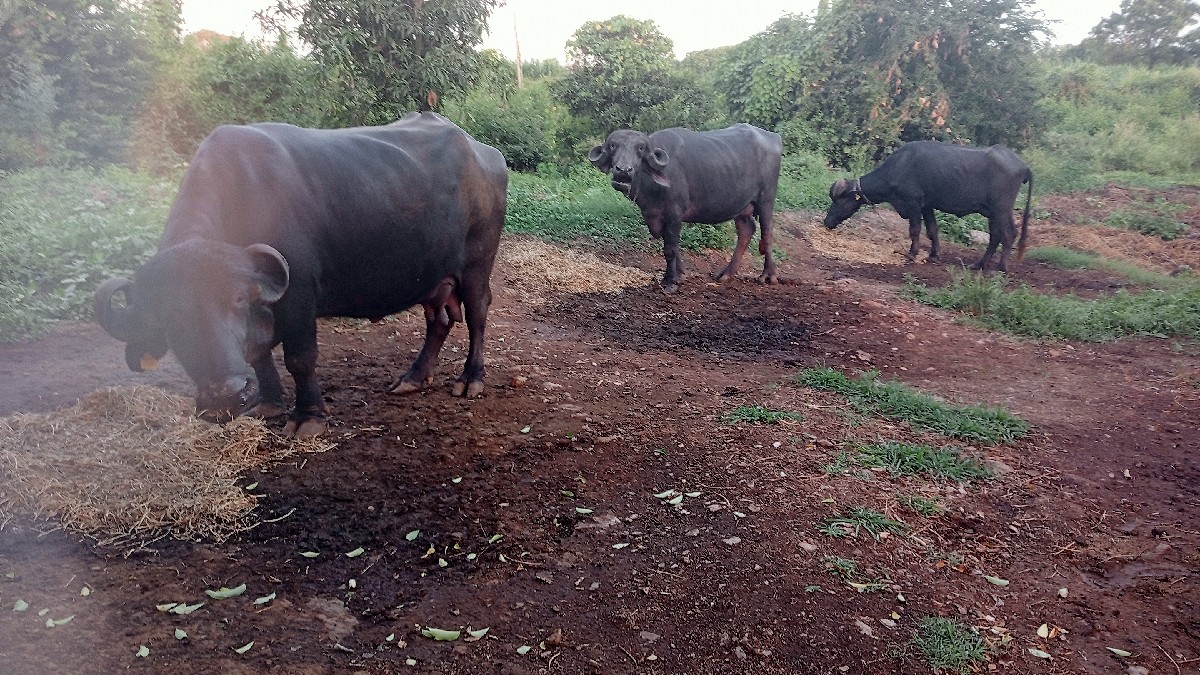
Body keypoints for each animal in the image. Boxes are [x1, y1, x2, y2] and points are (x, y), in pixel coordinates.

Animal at [93, 111, 508, 439]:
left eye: (237, 299)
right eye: (170, 318)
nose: (226, 395)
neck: (240, 197)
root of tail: (485, 153)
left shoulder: (299, 297)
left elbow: (300, 358)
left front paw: (308, 417)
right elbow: (259, 352)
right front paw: (268, 402)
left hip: (477, 264)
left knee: (477, 315)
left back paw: (470, 379)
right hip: (431, 277)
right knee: (438, 320)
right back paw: (414, 377)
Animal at [588, 124, 783, 293]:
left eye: (641, 148)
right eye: (613, 146)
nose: (623, 170)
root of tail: (774, 137)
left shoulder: (675, 214)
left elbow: (670, 249)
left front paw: (670, 282)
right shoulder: (657, 216)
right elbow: (673, 246)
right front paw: (680, 274)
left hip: (766, 199)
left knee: (767, 232)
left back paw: (768, 276)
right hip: (742, 207)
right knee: (746, 230)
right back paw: (727, 273)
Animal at [823, 140, 1033, 272]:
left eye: (839, 200)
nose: (827, 221)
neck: (901, 166)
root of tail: (1023, 165)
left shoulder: (913, 203)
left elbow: (915, 230)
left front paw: (911, 254)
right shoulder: (927, 205)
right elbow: (932, 230)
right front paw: (933, 255)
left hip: (1001, 209)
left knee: (1009, 233)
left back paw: (1001, 267)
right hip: (991, 212)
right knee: (995, 235)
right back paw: (978, 265)